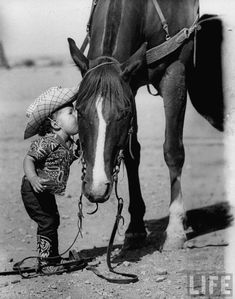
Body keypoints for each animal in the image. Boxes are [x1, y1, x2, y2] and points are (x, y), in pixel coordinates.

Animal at [67, 0, 224, 251]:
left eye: (123, 113)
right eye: (79, 110)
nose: (97, 188)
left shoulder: (174, 73)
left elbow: (173, 151)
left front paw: (175, 230)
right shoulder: (131, 83)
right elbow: (132, 154)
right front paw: (135, 228)